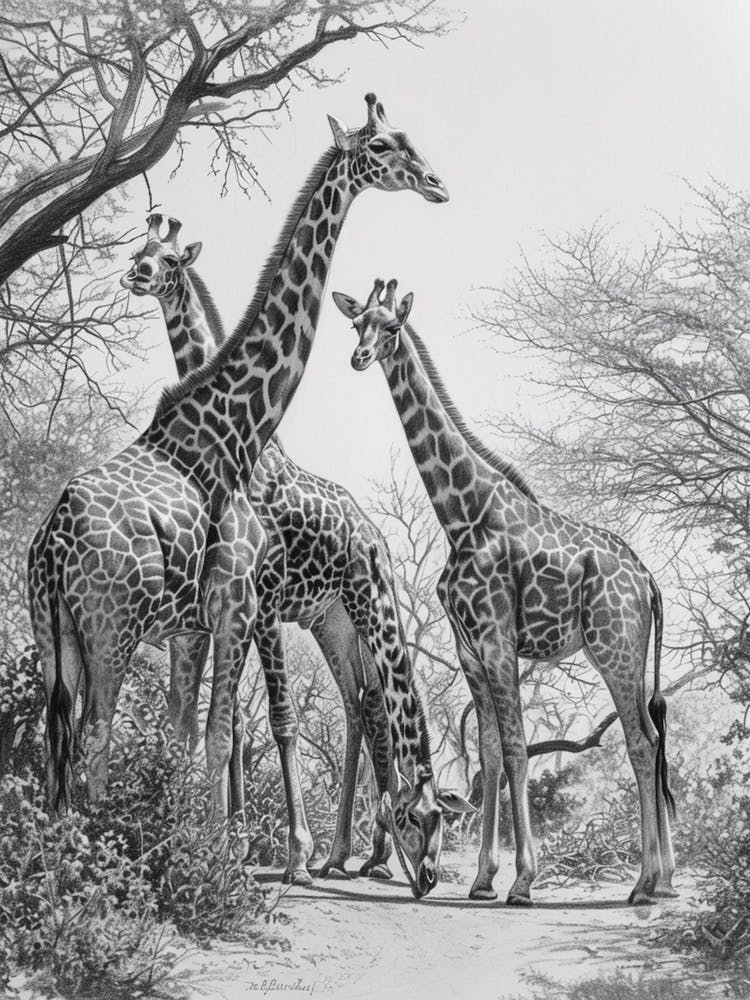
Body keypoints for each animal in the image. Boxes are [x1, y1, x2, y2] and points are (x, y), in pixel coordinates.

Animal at [119, 213, 473, 891]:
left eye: (170, 259)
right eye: (140, 250)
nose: (137, 275)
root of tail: (377, 540)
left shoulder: (259, 602)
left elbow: (277, 718)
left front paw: (287, 856)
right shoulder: (245, 609)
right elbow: (229, 714)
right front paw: (233, 843)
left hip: (360, 611)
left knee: (371, 705)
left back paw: (358, 858)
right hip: (329, 622)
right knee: (361, 705)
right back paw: (350, 855)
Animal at [332, 278, 677, 906]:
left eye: (391, 326)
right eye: (356, 324)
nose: (360, 357)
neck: (461, 514)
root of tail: (648, 580)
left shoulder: (497, 642)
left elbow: (517, 750)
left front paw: (523, 882)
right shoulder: (470, 648)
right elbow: (491, 754)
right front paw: (483, 880)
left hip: (613, 650)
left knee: (641, 742)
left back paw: (644, 883)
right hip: (632, 654)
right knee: (655, 738)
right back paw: (662, 880)